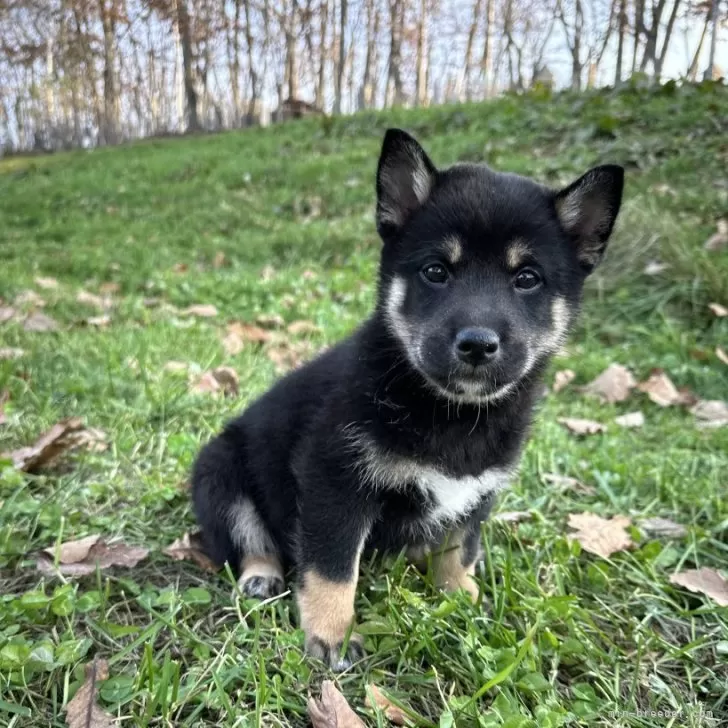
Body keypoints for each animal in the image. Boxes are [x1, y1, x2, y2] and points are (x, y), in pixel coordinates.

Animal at [191, 131, 624, 672]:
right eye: (436, 271)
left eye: (527, 278)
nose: (477, 345)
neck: (449, 411)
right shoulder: (335, 483)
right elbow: (333, 568)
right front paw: (332, 636)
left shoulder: (475, 494)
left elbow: (460, 551)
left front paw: (464, 600)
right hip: (220, 473)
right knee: (249, 538)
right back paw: (261, 575)